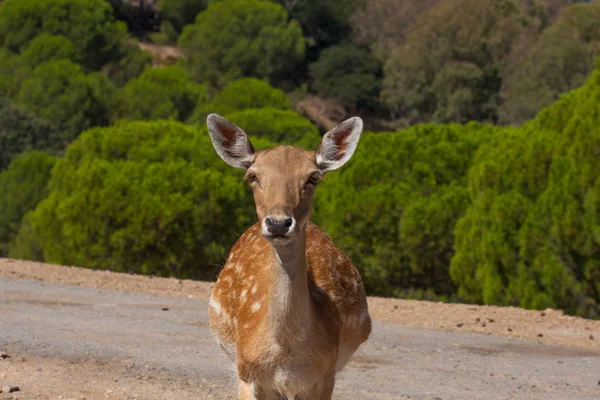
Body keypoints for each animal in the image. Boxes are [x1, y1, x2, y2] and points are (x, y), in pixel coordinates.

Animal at [209, 114, 372, 398]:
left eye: (313, 178)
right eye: (252, 176)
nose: (278, 223)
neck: (285, 353)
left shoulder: (325, 374)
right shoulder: (246, 372)